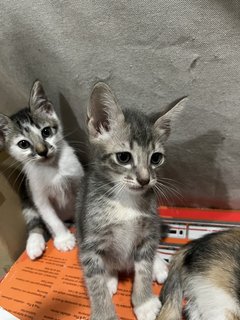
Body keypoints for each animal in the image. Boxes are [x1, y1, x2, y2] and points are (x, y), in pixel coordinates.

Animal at [0, 80, 84, 260]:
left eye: (46, 132)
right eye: (23, 144)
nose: (42, 151)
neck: (53, 168)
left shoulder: (79, 179)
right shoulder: (38, 197)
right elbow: (51, 219)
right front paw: (64, 239)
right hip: (27, 198)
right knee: (35, 223)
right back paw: (34, 245)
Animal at [76, 83, 186, 320]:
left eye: (156, 158)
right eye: (124, 157)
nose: (145, 179)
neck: (125, 201)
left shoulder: (147, 231)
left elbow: (143, 268)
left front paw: (144, 302)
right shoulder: (89, 243)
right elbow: (95, 283)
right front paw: (104, 313)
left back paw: (158, 265)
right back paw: (110, 276)